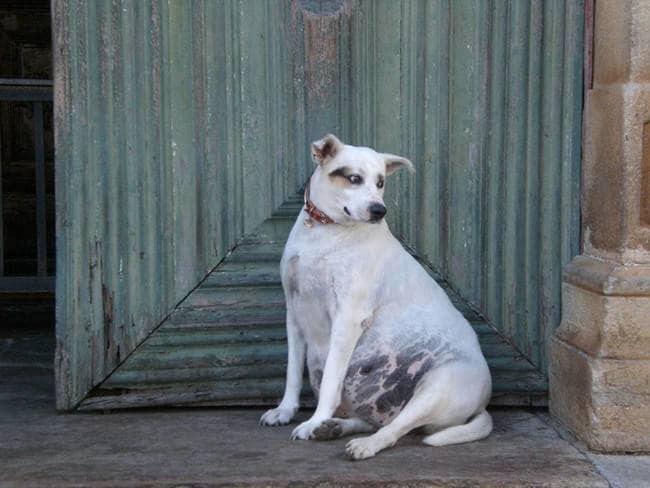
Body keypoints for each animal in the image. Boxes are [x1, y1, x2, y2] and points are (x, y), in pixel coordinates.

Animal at [258, 134, 492, 462]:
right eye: (354, 178)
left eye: (381, 182)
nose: (379, 210)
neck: (326, 232)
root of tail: (483, 404)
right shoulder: (294, 313)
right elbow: (292, 372)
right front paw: (285, 411)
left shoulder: (347, 319)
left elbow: (331, 381)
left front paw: (314, 420)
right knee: (376, 421)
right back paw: (334, 428)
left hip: (438, 386)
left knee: (396, 429)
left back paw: (361, 443)